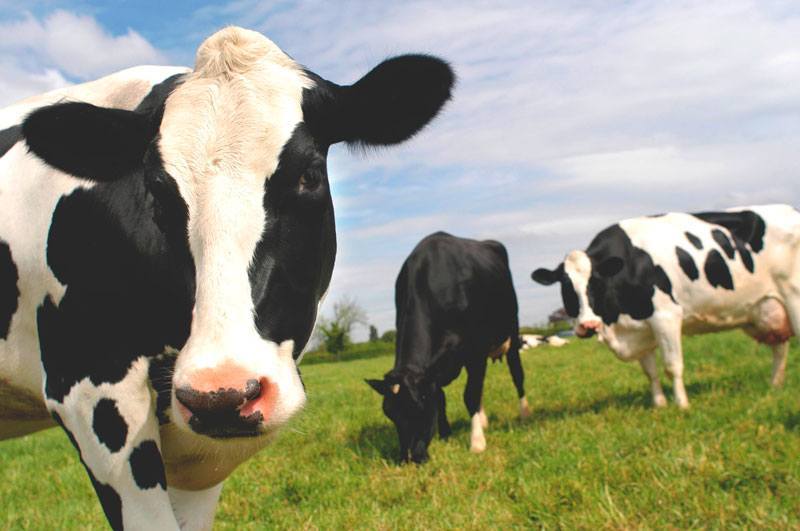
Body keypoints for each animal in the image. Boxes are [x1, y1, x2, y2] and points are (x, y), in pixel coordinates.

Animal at [367, 232, 530, 464]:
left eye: (418, 409)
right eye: (389, 413)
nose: (408, 458)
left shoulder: (476, 352)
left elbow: (470, 394)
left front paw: (477, 442)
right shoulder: (434, 369)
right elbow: (441, 396)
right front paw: (445, 434)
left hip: (512, 331)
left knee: (517, 374)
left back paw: (524, 413)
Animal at [531, 204, 800, 409]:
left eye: (596, 282)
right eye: (566, 286)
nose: (588, 325)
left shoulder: (666, 316)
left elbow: (672, 366)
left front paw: (682, 405)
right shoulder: (640, 329)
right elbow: (650, 371)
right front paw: (659, 405)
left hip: (794, 296)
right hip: (767, 309)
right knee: (780, 349)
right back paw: (774, 386)